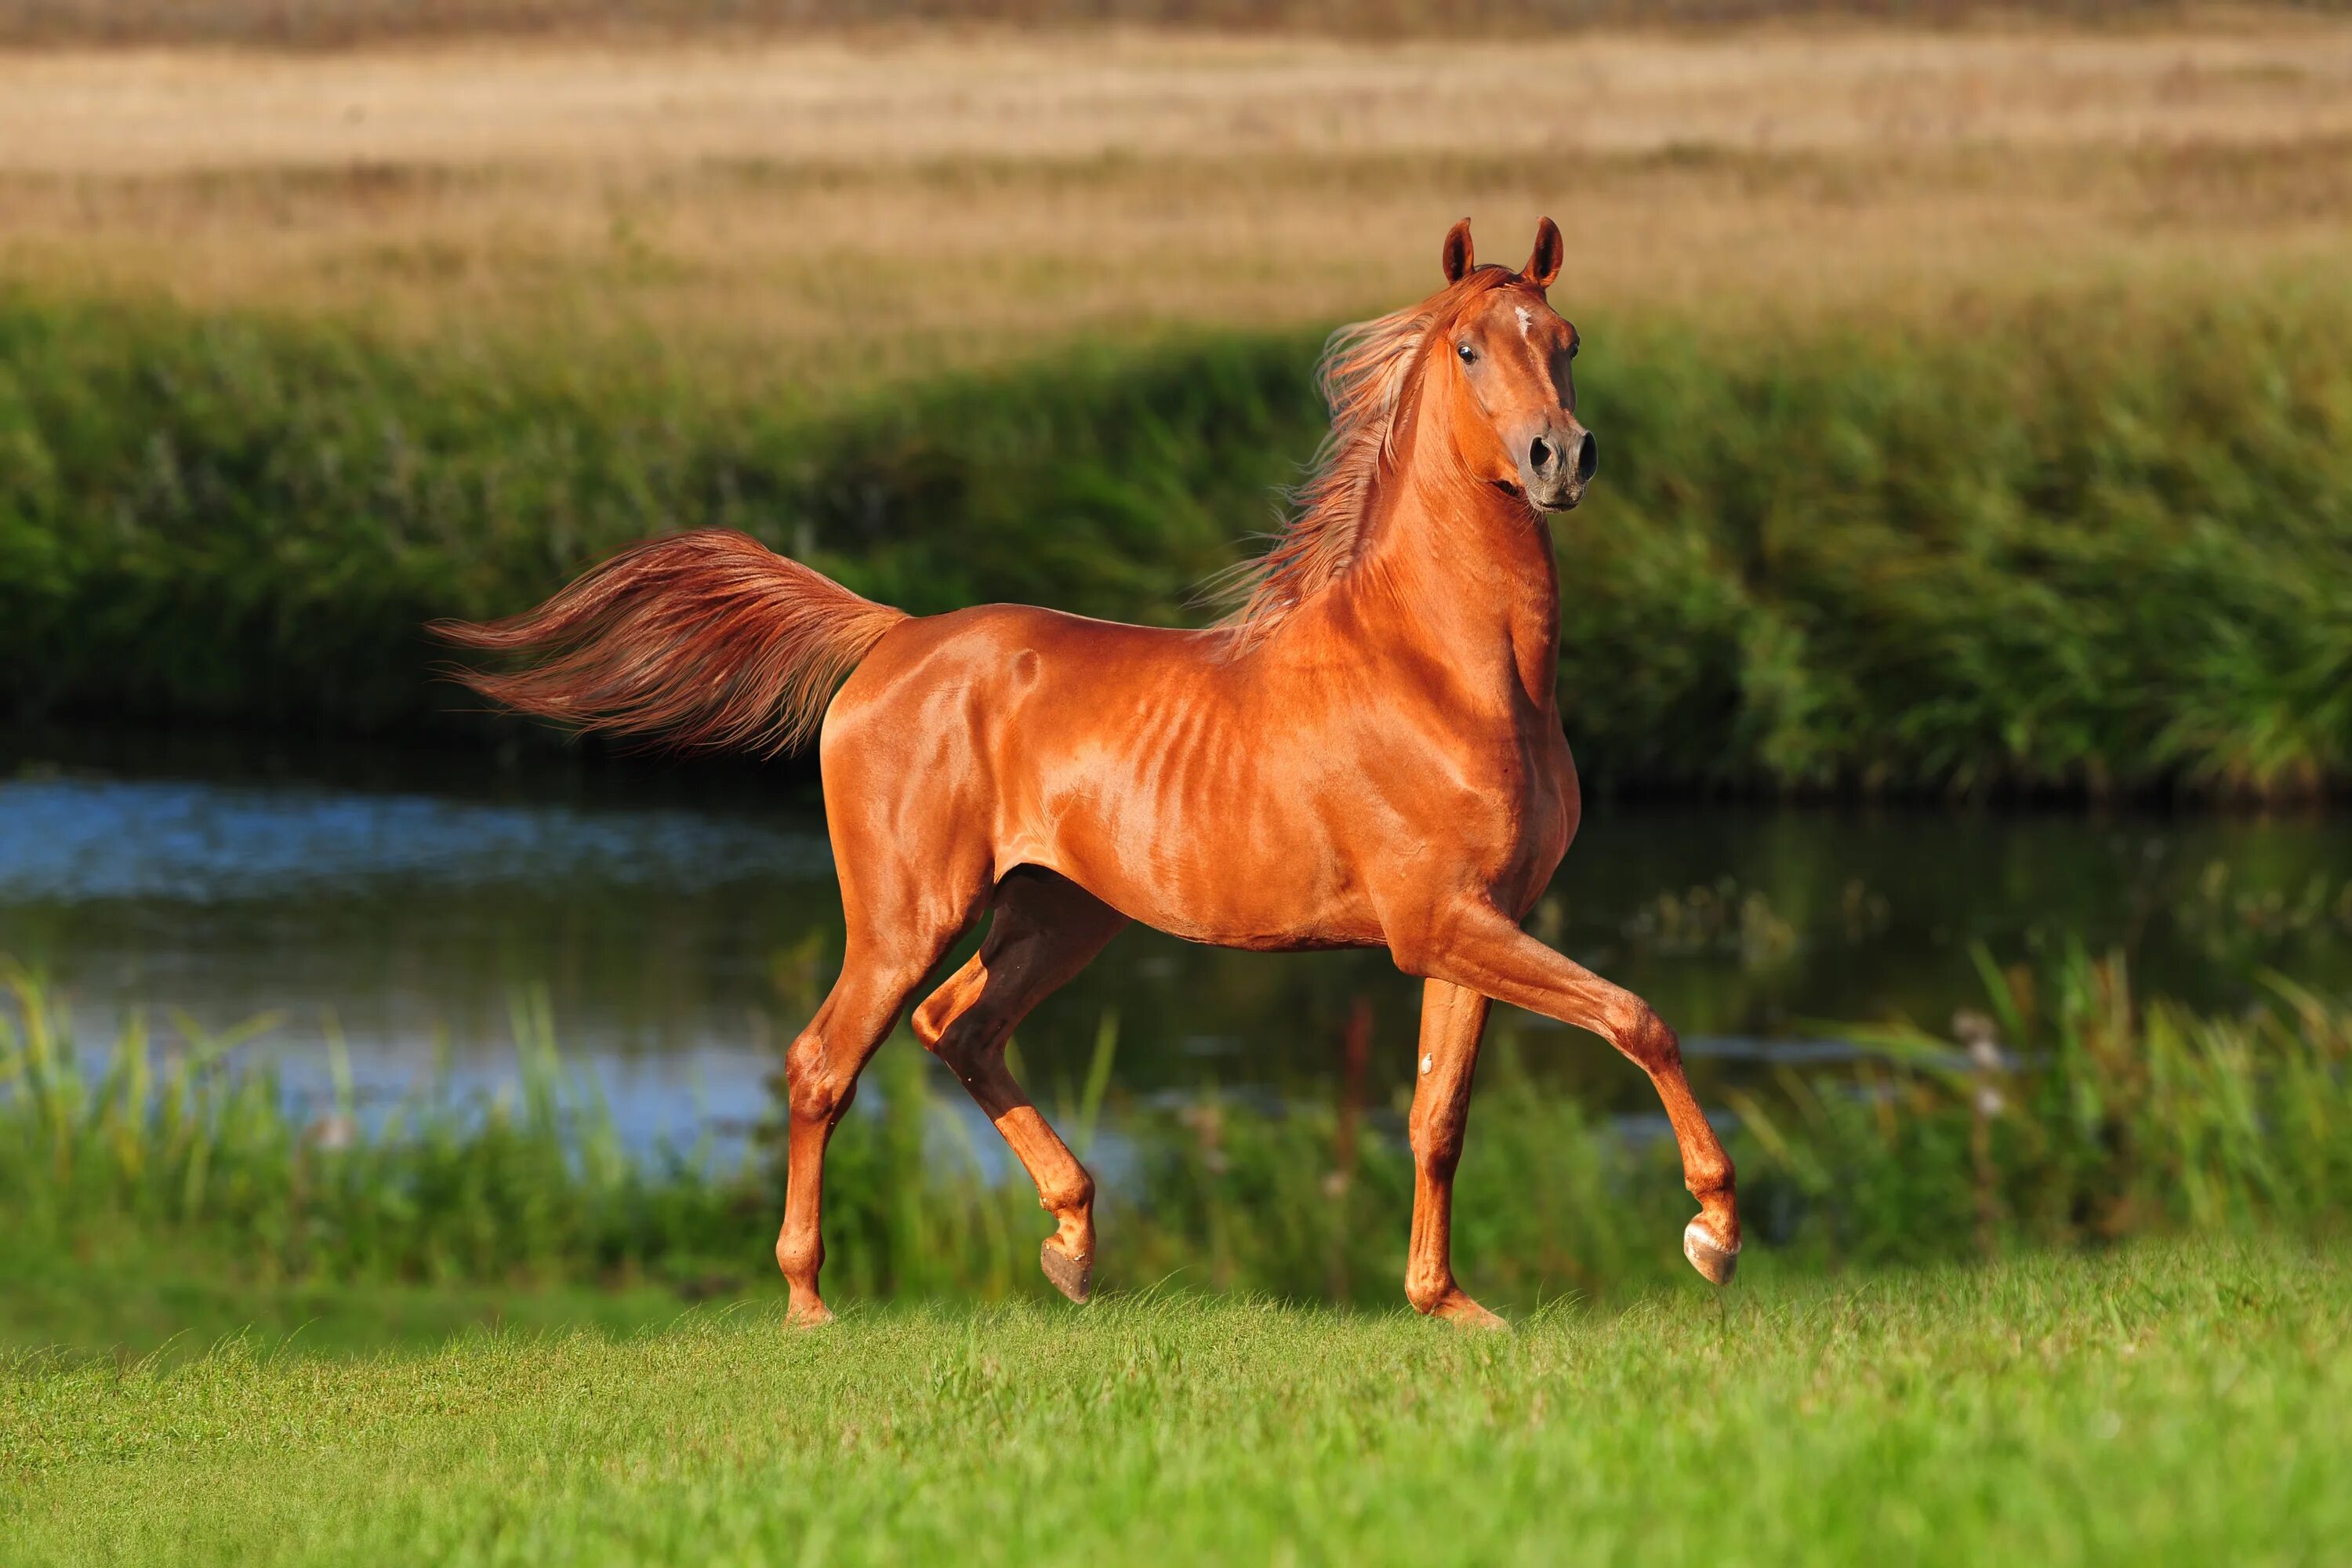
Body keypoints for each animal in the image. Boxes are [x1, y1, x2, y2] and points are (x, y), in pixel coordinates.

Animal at [437, 215, 1750, 1335]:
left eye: (1567, 342)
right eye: (1473, 346)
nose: (1560, 456)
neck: (1448, 671)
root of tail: (893, 637)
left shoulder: (1472, 924)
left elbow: (1440, 1118)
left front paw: (1449, 1306)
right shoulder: (1441, 922)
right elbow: (1639, 1017)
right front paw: (1713, 1233)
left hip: (1059, 914)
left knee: (956, 1028)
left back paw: (1071, 1243)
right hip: (913, 912)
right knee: (826, 1063)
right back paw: (812, 1299)